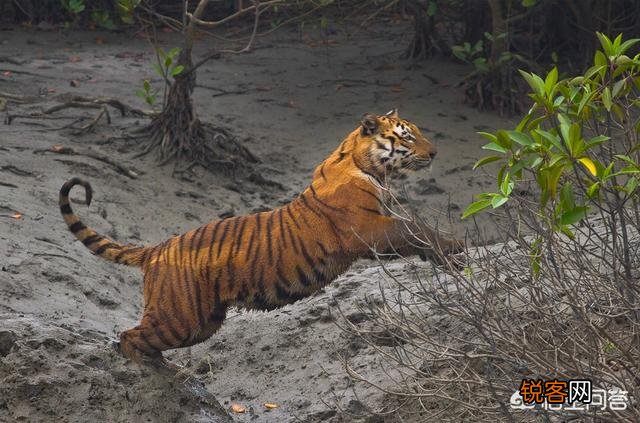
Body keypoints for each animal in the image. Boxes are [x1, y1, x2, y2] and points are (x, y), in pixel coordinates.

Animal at [59, 109, 463, 365]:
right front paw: (454, 247)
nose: (435, 152)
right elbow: (414, 228)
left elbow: (413, 231)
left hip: (202, 322)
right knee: (128, 336)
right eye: (407, 135)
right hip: (179, 317)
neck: (371, 168)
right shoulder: (368, 228)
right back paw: (147, 368)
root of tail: (158, 246)